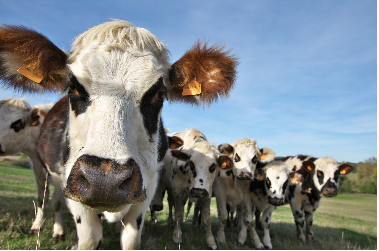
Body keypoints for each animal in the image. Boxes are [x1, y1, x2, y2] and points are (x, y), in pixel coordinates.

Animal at [0, 98, 66, 241]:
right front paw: (36, 226)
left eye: (19, 123)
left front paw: (58, 232)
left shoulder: (59, 176)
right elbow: (41, 201)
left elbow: (57, 203)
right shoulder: (39, 176)